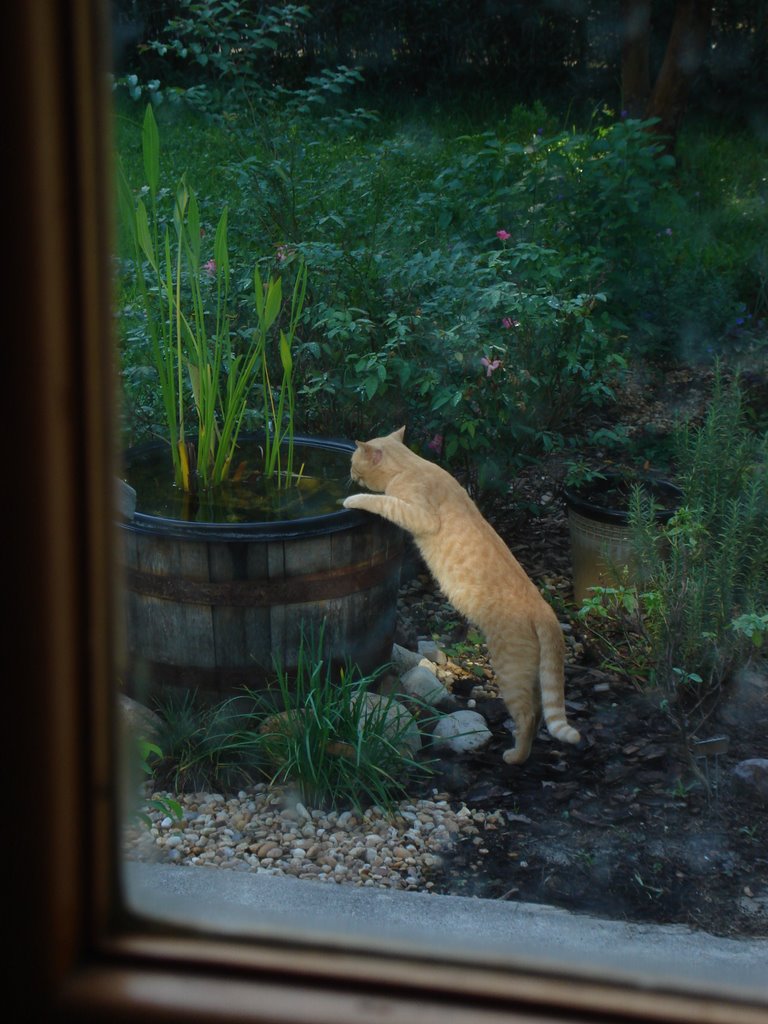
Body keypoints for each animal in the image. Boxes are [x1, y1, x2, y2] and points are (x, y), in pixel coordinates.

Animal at [344, 423, 581, 761]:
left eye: (354, 462)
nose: (349, 473)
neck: (412, 465)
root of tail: (544, 608)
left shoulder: (418, 515)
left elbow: (382, 501)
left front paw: (353, 498)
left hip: (510, 668)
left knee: (529, 714)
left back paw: (514, 757)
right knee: (536, 711)